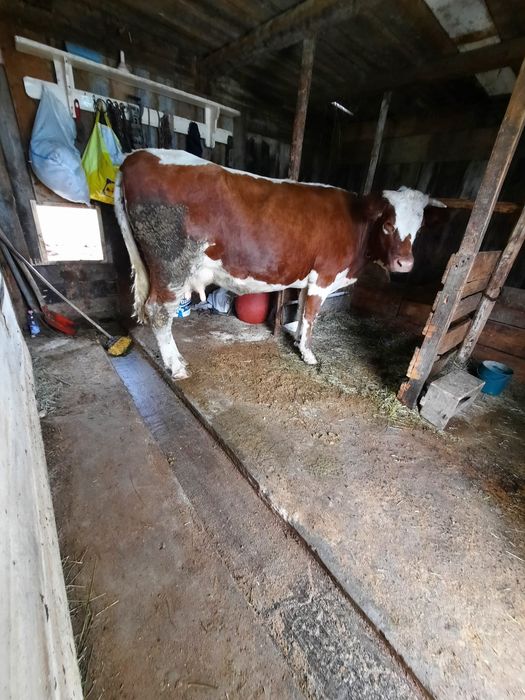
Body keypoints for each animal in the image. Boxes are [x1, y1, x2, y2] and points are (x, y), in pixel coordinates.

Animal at [114, 149, 445, 379]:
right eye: (388, 224)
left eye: (420, 227)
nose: (405, 263)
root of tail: (136, 155)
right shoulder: (324, 277)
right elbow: (311, 317)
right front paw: (308, 355)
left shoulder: (311, 277)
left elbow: (301, 313)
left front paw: (296, 340)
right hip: (171, 265)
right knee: (159, 312)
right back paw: (177, 366)